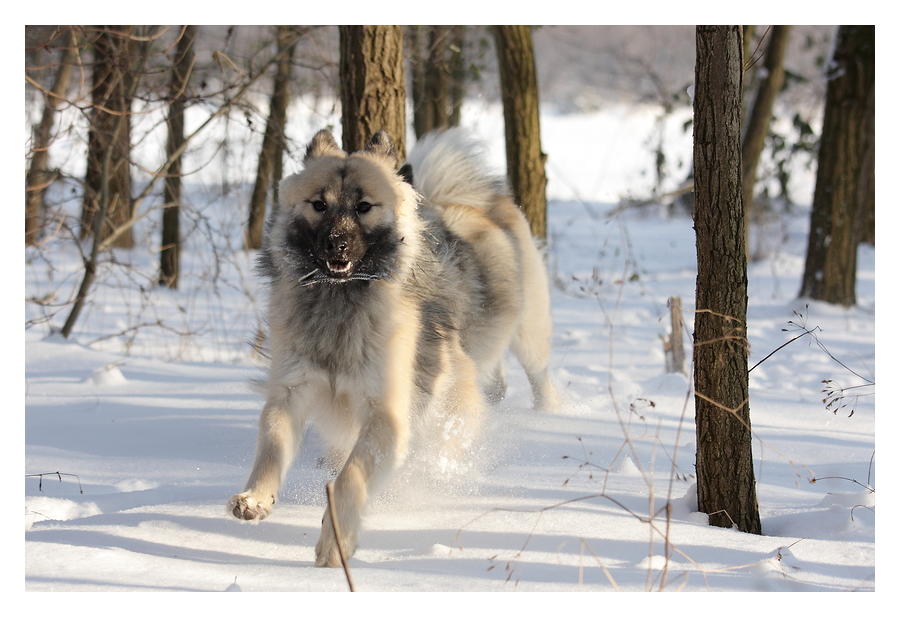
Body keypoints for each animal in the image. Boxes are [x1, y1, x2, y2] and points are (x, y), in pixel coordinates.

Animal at [229, 127, 560, 564]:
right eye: (319, 205)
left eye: (364, 207)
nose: (336, 243)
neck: (341, 298)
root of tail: (469, 205)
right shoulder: (290, 393)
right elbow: (271, 446)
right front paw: (255, 497)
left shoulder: (386, 413)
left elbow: (351, 476)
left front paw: (336, 541)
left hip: (527, 335)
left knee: (537, 376)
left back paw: (546, 415)